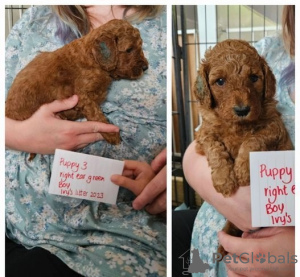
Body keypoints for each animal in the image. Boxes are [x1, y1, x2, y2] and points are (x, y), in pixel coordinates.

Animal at [5, 18, 148, 150]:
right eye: (129, 49)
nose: (146, 67)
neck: (92, 57)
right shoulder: (83, 95)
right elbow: (97, 115)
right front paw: (112, 134)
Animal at [193, 39, 294, 256]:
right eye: (220, 81)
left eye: (254, 78)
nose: (242, 110)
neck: (237, 125)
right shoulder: (204, 133)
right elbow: (215, 148)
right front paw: (224, 180)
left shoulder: (274, 127)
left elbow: (253, 140)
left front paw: (243, 169)